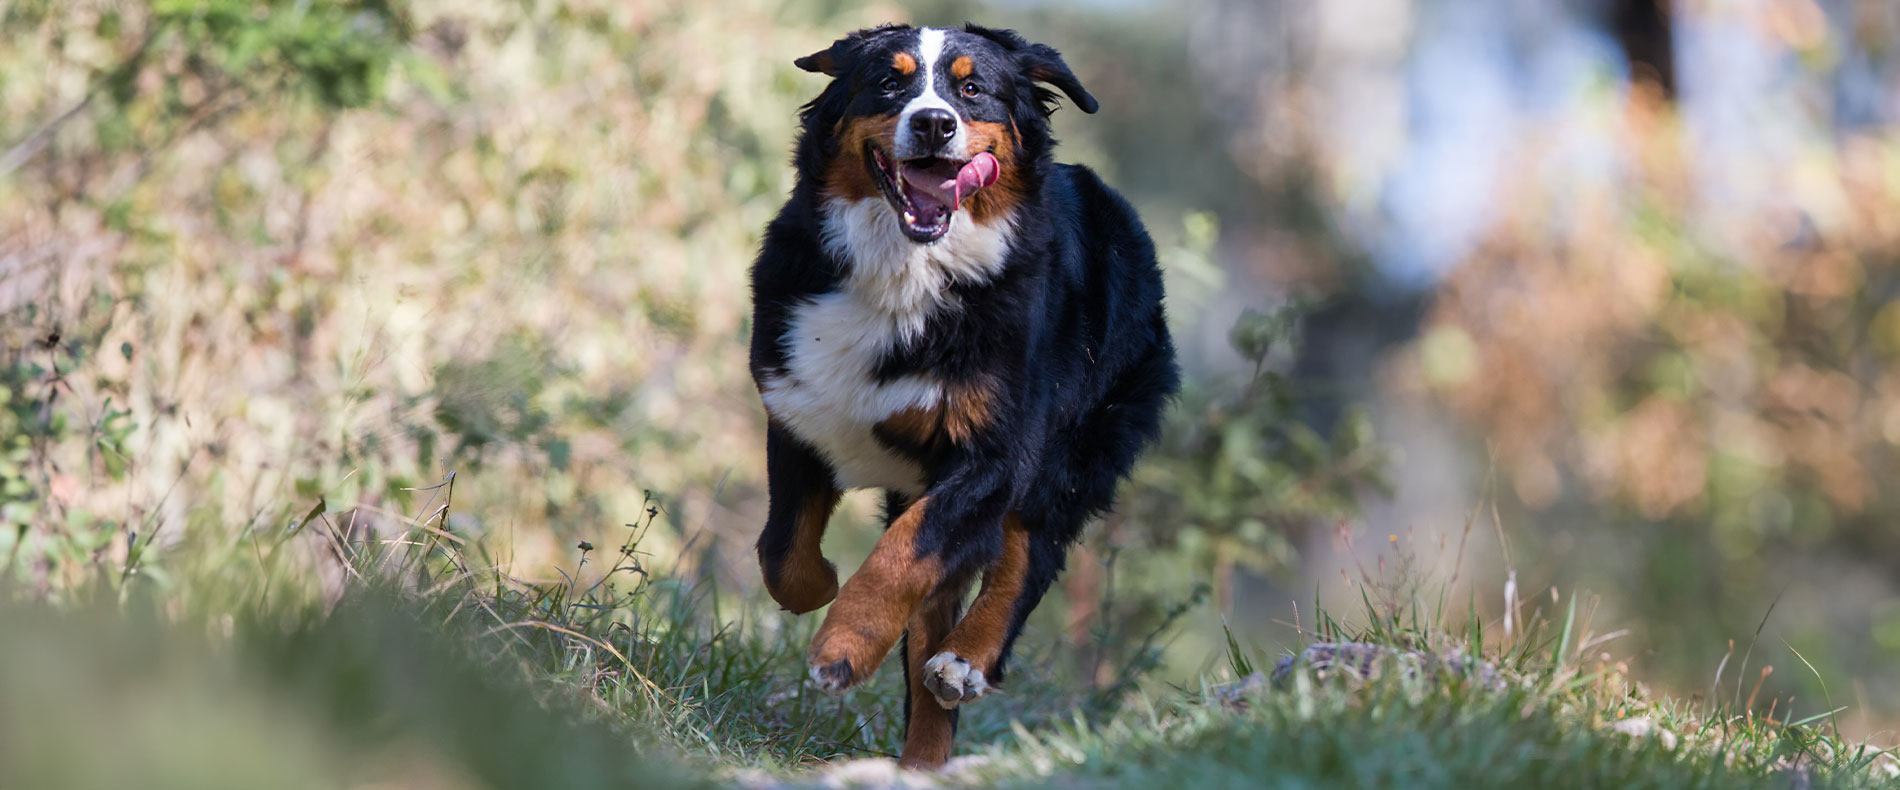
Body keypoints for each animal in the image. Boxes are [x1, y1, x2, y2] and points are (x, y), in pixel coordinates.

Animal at [748, 21, 1178, 767]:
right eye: (888, 83)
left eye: (972, 88)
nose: (933, 122)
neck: (905, 273)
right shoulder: (799, 408)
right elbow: (784, 552)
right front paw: (823, 585)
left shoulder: (995, 454)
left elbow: (902, 555)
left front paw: (842, 649)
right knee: (937, 607)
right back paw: (921, 761)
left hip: (1073, 452)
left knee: (1030, 553)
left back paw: (966, 661)